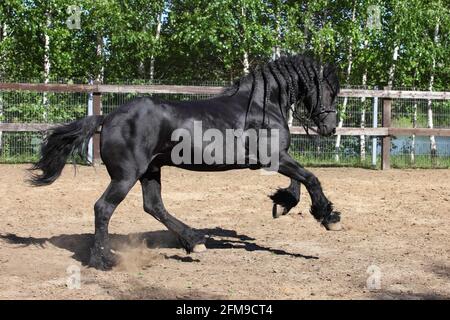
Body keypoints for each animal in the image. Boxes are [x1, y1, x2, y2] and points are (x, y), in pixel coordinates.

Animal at [29, 55, 342, 270]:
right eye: (330, 89)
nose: (329, 127)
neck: (262, 105)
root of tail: (107, 117)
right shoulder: (274, 157)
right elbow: (311, 178)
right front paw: (328, 217)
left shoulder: (276, 158)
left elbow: (298, 181)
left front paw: (282, 202)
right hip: (126, 175)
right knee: (103, 208)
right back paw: (103, 261)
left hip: (150, 171)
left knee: (153, 206)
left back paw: (195, 242)